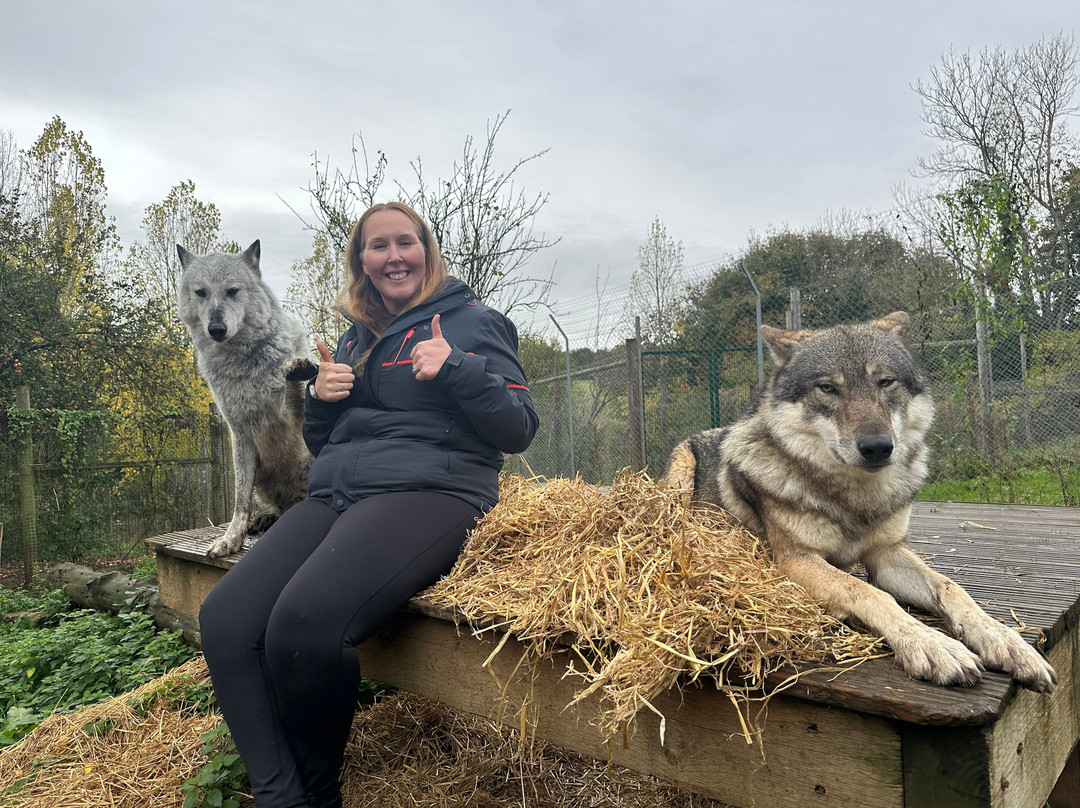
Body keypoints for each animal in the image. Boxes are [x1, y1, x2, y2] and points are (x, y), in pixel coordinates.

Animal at [177, 240, 316, 559]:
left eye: (232, 291)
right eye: (201, 292)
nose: (216, 329)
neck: (243, 366)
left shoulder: (294, 419)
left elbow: (293, 387)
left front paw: (295, 369)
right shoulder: (239, 434)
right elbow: (240, 501)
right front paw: (231, 539)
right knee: (279, 506)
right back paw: (266, 519)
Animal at [661, 312, 1056, 693]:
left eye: (885, 382)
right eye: (828, 388)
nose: (878, 447)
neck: (858, 498)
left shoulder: (887, 553)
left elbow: (951, 588)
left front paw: (1004, 639)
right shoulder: (796, 562)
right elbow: (868, 592)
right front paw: (932, 644)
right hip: (679, 477)